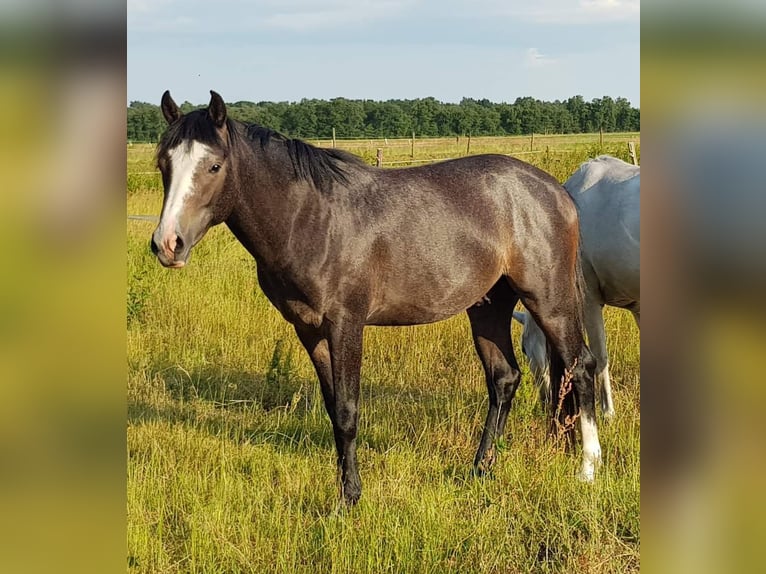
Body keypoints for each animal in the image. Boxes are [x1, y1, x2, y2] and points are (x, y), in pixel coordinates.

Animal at [150, 91, 604, 508]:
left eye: (214, 165)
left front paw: (350, 499)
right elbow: (334, 409)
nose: (168, 244)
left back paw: (588, 467)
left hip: (550, 300)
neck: (311, 218)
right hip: (489, 306)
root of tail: (556, 191)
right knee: (505, 379)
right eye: (163, 164)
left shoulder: (346, 324)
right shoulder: (308, 330)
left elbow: (348, 411)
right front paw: (344, 490)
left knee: (581, 367)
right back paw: (480, 468)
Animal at [516, 155, 640, 420]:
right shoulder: (638, 306)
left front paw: (607, 412)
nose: (545, 401)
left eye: (523, 349)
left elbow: (600, 356)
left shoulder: (590, 300)